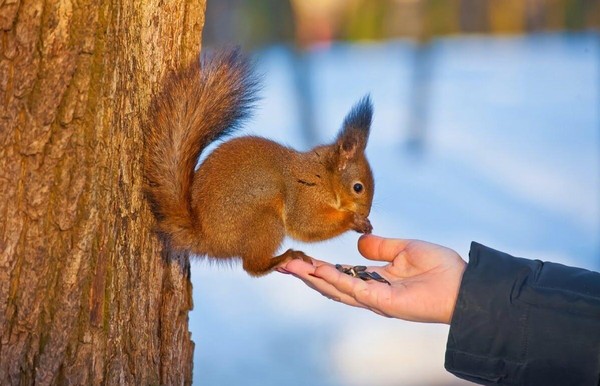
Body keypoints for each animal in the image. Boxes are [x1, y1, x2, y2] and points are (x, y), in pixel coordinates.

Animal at [143, 49, 372, 276]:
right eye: (358, 187)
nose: (365, 213)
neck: (323, 176)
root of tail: (207, 238)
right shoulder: (304, 197)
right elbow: (306, 224)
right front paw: (353, 220)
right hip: (266, 217)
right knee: (252, 265)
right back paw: (284, 257)